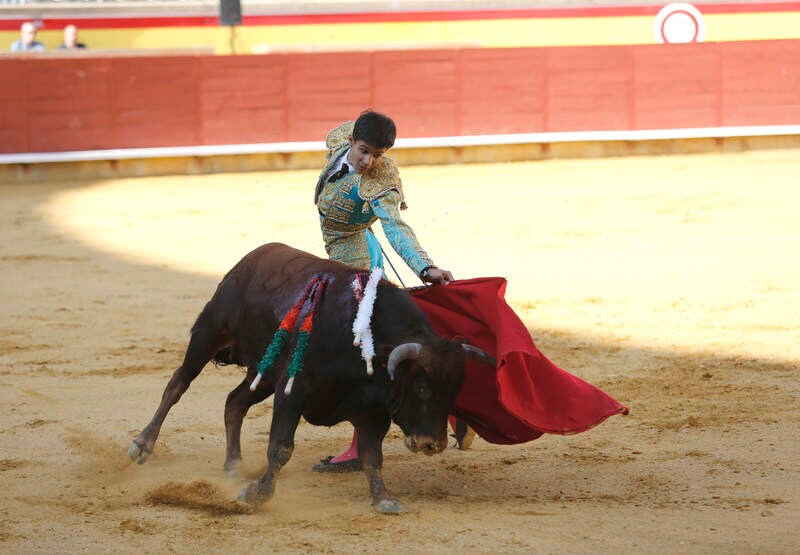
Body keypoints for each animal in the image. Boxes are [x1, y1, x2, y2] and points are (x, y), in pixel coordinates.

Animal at [129, 244, 494, 516]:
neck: (366, 342)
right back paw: (142, 444)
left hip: (263, 372)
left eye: (454, 391)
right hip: (210, 330)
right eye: (421, 388)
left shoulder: (373, 410)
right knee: (178, 384)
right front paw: (258, 494)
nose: (433, 445)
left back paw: (233, 464)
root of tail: (253, 256)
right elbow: (281, 447)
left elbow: (372, 457)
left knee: (234, 402)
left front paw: (383, 499)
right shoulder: (293, 391)